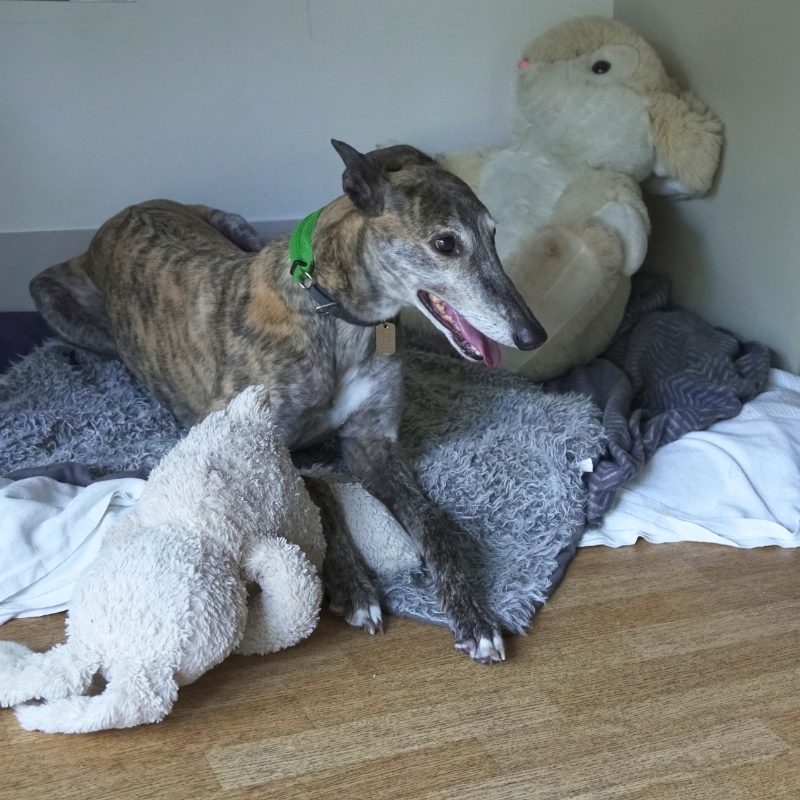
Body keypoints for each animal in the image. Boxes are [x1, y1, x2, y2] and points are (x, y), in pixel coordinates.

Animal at [29, 142, 544, 664]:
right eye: (445, 243)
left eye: (493, 235)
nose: (533, 335)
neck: (337, 317)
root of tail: (123, 214)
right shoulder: (244, 436)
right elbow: (316, 491)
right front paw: (353, 584)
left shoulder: (372, 440)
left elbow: (436, 524)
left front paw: (473, 614)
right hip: (57, 303)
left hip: (235, 225)